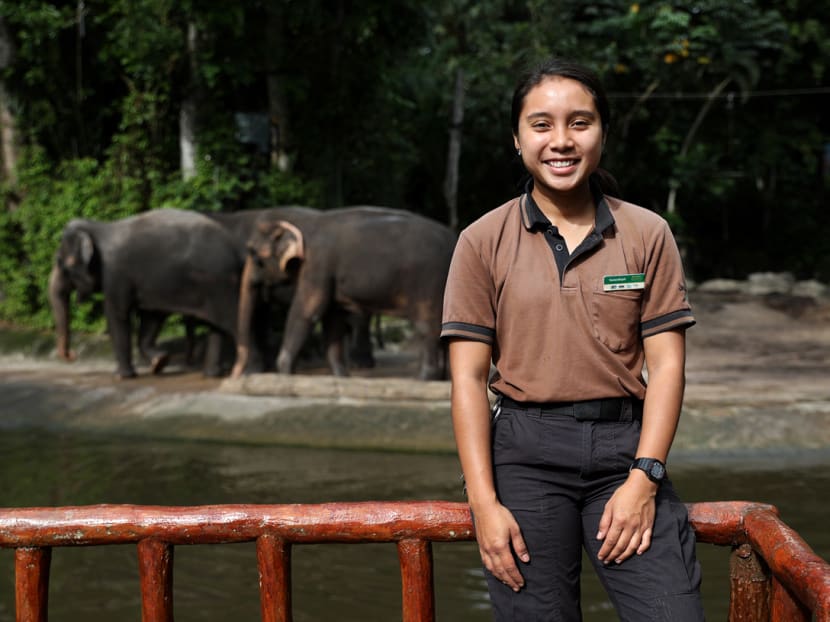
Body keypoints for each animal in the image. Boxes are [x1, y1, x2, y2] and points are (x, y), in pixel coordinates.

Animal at [48, 208, 244, 380]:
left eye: (61, 264)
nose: (72, 355)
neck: (98, 227)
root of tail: (236, 249)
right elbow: (152, 317)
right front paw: (159, 362)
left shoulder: (116, 274)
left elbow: (117, 315)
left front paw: (122, 376)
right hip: (216, 287)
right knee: (216, 327)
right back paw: (213, 375)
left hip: (221, 284)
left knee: (233, 322)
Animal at [231, 207, 458, 380]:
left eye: (254, 255)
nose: (236, 375)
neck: (305, 221)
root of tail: (453, 238)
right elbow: (332, 319)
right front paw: (341, 375)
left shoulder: (317, 265)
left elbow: (307, 310)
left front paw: (284, 372)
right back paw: (442, 378)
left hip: (428, 282)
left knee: (426, 326)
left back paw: (424, 378)